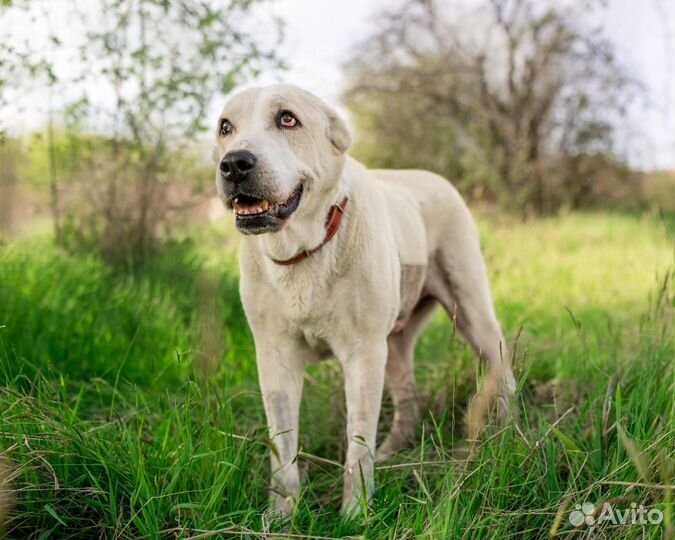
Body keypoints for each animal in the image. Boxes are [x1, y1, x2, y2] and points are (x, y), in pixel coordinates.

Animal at [214, 83, 516, 516]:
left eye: (287, 119)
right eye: (225, 127)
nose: (234, 164)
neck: (305, 251)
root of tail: (433, 177)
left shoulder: (363, 354)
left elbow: (357, 446)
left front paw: (355, 516)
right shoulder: (275, 358)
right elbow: (282, 448)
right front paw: (281, 516)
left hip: (472, 313)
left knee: (503, 370)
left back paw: (505, 434)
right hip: (396, 342)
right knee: (408, 401)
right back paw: (392, 451)